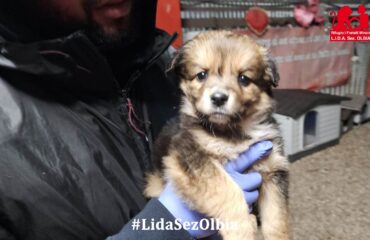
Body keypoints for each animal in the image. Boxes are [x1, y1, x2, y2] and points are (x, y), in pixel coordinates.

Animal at [145, 31, 290, 240]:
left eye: (244, 79)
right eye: (202, 75)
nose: (219, 98)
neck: (233, 132)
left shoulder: (273, 169)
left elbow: (277, 218)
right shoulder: (193, 157)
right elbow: (227, 189)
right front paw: (242, 229)